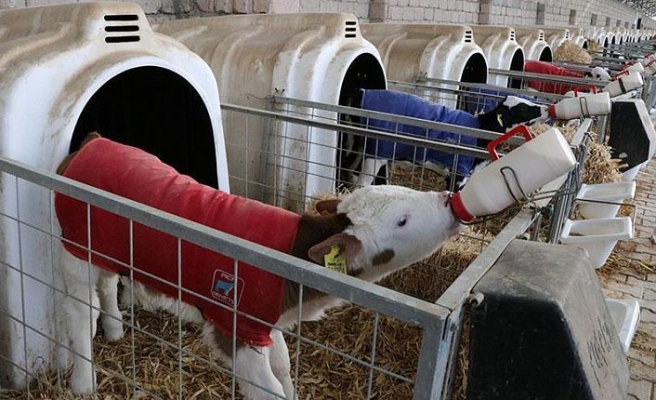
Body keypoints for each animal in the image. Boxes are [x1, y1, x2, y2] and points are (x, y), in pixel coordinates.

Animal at [56, 133, 458, 398]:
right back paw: (83, 382)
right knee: (80, 310)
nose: (449, 201)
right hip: (75, 247)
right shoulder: (235, 326)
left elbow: (282, 367)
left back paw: (114, 330)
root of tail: (92, 142)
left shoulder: (266, 321)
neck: (293, 258)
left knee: (107, 284)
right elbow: (267, 389)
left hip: (104, 246)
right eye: (402, 221)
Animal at [340, 89, 552, 188]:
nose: (546, 109)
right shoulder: (458, 171)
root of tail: (360, 92)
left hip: (359, 144)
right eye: (522, 108)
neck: (481, 129)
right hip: (375, 152)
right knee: (362, 181)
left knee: (349, 168)